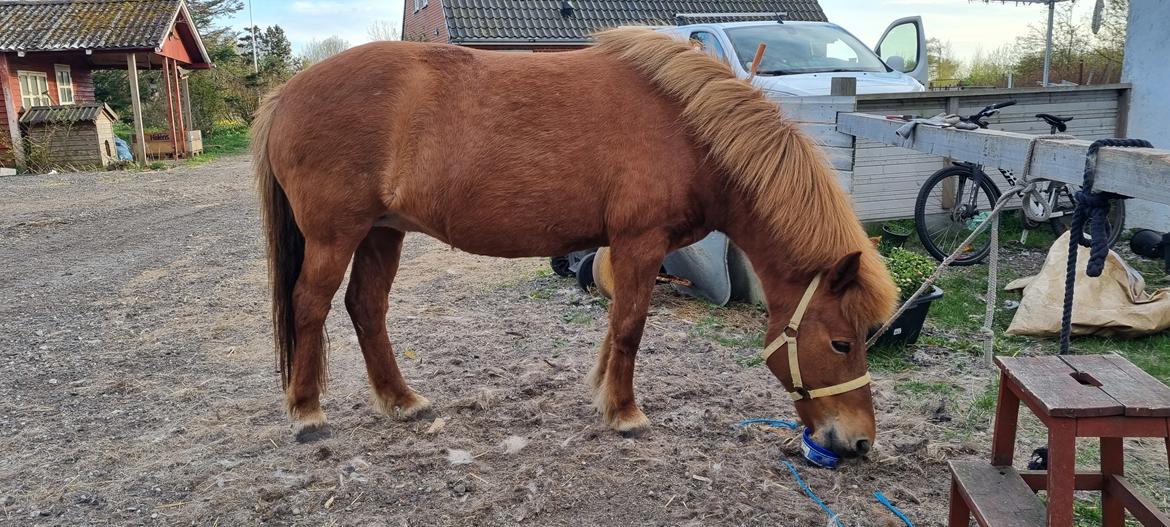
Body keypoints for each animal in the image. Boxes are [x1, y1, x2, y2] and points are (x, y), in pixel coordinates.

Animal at [253, 28, 893, 454]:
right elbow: (631, 327)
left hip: (382, 234)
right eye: (841, 343)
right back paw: (308, 414)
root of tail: (285, 95)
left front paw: (604, 397)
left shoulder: (624, 246)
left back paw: (402, 401)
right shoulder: (641, 242)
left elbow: (616, 328)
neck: (689, 130)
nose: (859, 442)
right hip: (336, 236)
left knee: (366, 307)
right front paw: (626, 413)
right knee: (310, 306)